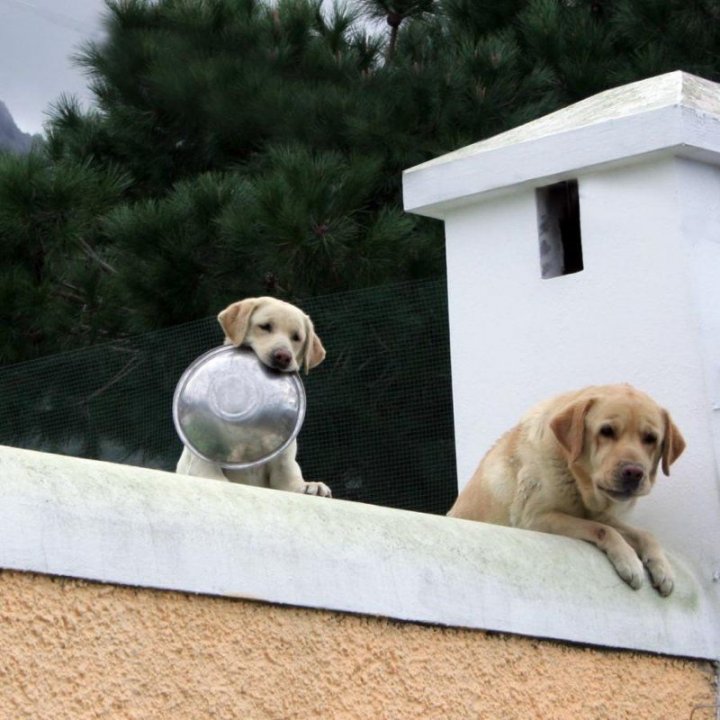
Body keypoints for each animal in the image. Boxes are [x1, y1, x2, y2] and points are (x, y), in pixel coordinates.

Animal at [177, 296, 332, 498]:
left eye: (297, 338)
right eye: (265, 326)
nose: (283, 356)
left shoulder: (283, 463)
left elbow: (291, 479)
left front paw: (309, 485)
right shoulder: (200, 457)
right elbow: (212, 475)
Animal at [450, 386, 688, 592]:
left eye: (650, 438)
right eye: (606, 431)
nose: (634, 472)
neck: (576, 479)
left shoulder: (600, 515)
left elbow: (645, 534)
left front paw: (662, 567)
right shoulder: (535, 519)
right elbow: (602, 529)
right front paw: (630, 561)